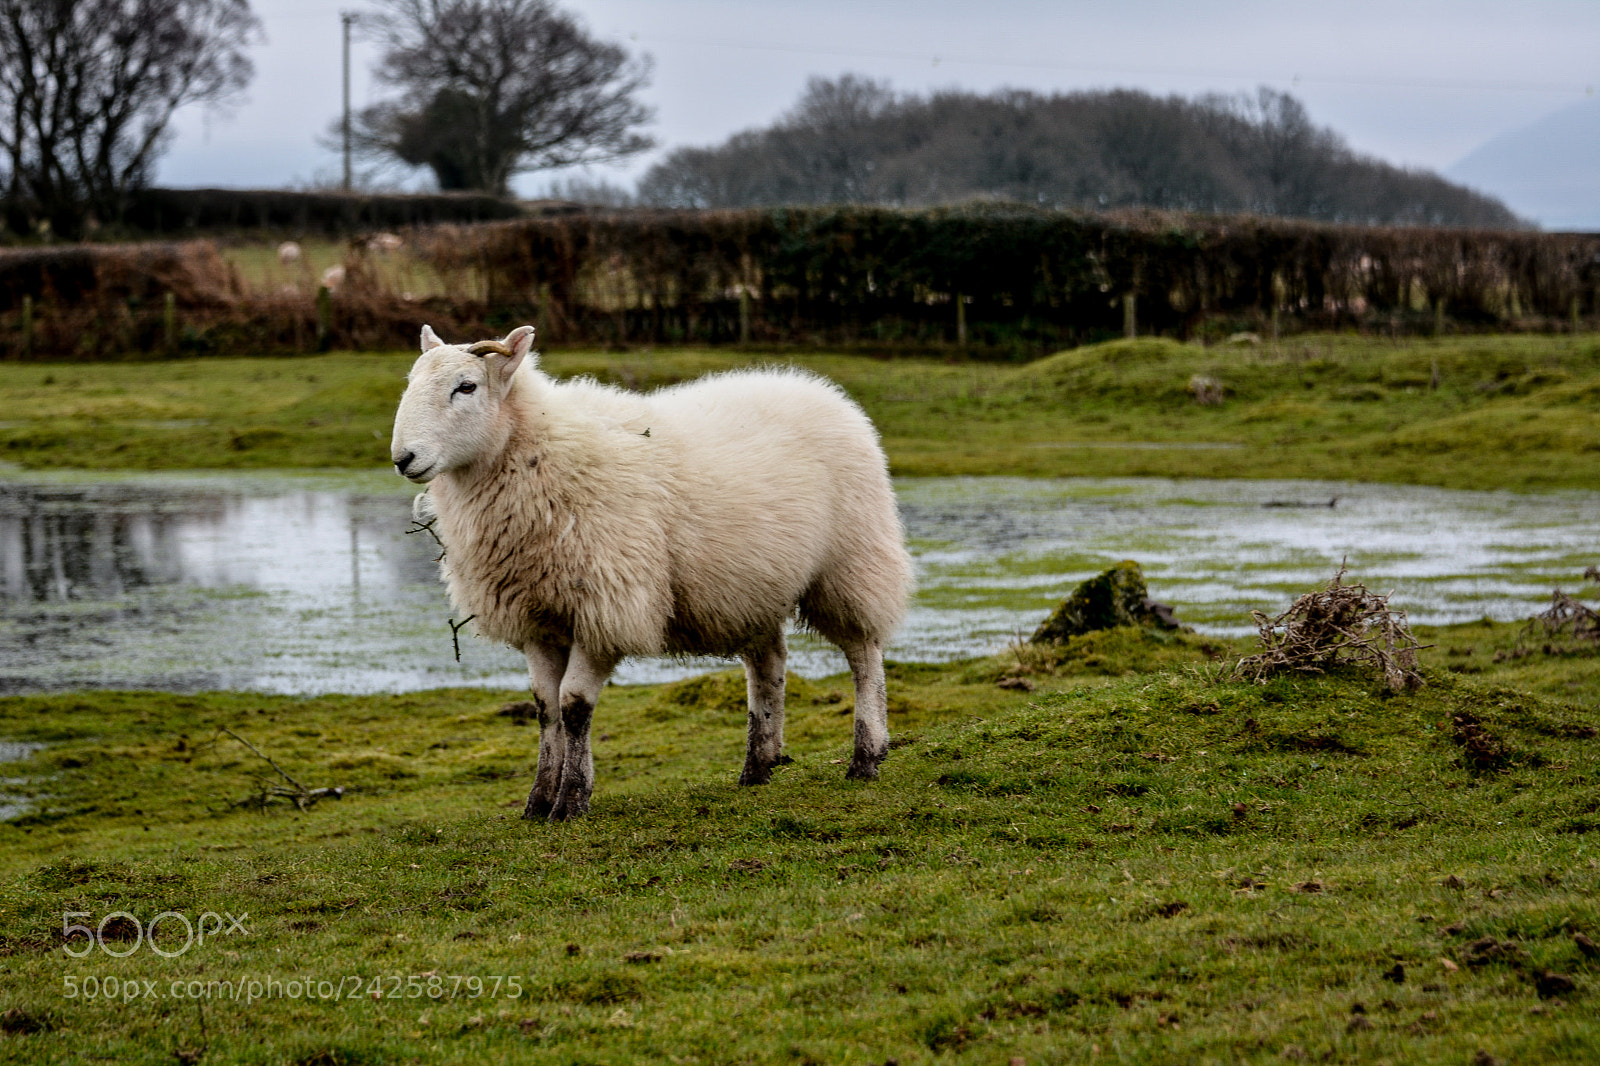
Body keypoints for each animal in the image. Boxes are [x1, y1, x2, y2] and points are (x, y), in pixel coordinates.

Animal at [390, 325, 914, 820]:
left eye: (467, 386)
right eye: (410, 382)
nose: (403, 459)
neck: (537, 449)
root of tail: (818, 388)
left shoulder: (606, 605)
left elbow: (574, 706)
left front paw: (571, 800)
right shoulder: (537, 616)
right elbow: (545, 708)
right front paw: (538, 800)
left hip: (850, 563)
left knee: (863, 654)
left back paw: (866, 756)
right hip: (754, 587)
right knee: (769, 666)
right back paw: (758, 765)